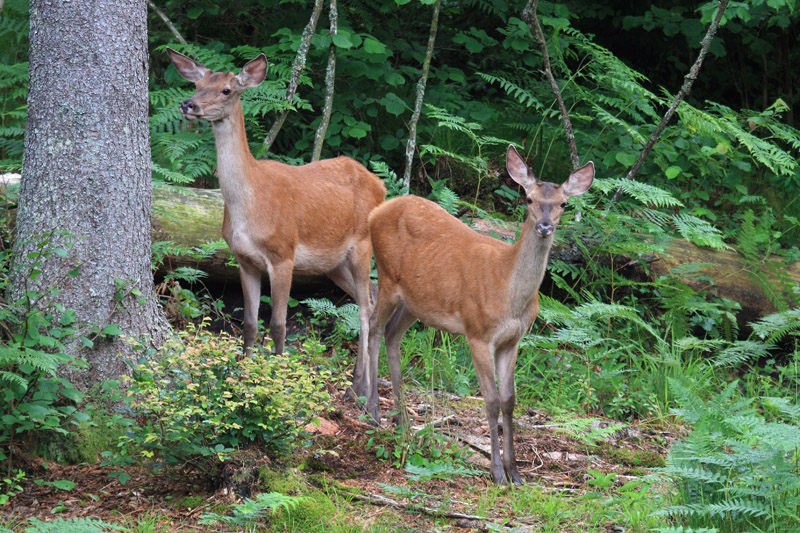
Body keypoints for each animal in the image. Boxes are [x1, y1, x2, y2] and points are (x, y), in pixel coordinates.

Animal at [166, 47, 388, 400]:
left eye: (226, 90)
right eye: (198, 84)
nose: (189, 104)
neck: (250, 202)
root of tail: (381, 186)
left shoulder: (283, 254)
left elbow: (279, 325)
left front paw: (279, 383)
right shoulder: (244, 259)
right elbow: (249, 324)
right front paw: (242, 380)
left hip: (362, 245)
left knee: (367, 307)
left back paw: (360, 387)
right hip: (333, 262)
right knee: (371, 297)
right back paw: (362, 382)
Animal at [364, 144, 592, 482]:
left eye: (563, 203)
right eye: (529, 199)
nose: (545, 226)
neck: (509, 293)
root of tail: (376, 212)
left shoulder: (512, 340)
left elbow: (510, 401)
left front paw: (516, 472)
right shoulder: (478, 333)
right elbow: (492, 401)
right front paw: (497, 472)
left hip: (415, 301)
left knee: (392, 334)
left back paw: (402, 421)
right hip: (387, 277)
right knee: (373, 326)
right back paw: (372, 411)